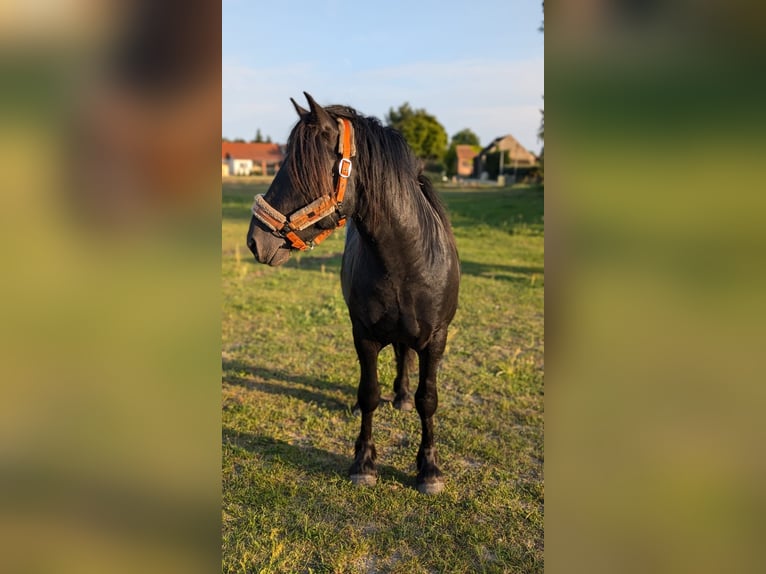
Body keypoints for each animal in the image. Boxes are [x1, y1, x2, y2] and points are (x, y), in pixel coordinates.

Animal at [248, 93, 462, 496]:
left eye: (301, 170)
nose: (255, 240)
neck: (406, 260)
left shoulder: (436, 339)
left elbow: (428, 399)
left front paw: (429, 469)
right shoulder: (363, 335)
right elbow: (369, 394)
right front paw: (364, 463)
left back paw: (403, 398)